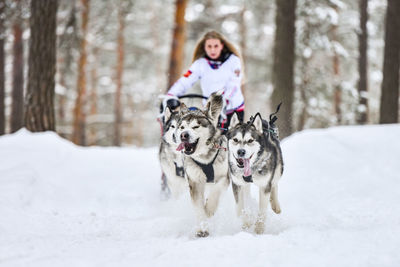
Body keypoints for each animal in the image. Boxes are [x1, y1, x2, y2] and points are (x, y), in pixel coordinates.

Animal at [175, 92, 228, 239]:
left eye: (195, 127)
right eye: (182, 127)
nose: (183, 135)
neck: (204, 158)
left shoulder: (224, 177)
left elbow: (216, 191)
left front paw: (209, 209)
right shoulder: (195, 182)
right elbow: (198, 208)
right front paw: (202, 228)